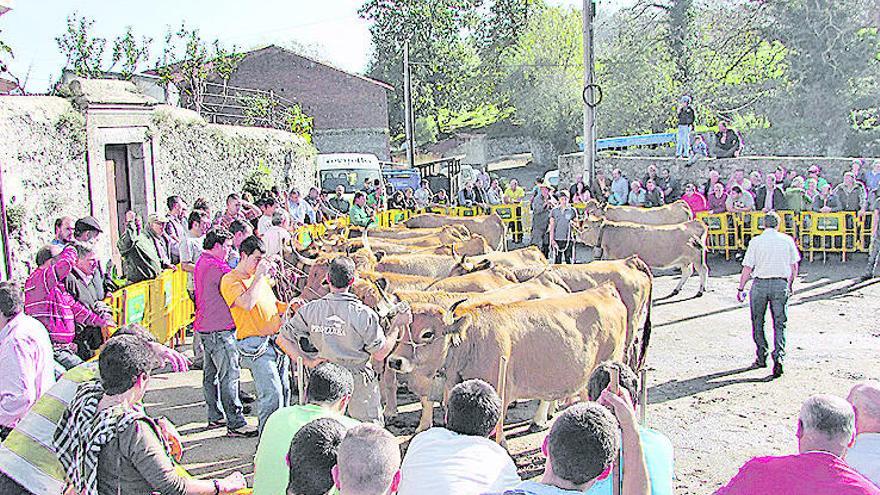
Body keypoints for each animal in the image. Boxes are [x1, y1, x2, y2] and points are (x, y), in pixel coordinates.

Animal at [576, 216, 708, 294]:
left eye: (586, 226)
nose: (577, 236)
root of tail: (692, 223)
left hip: (697, 258)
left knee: (703, 270)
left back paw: (701, 290)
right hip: (685, 260)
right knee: (687, 272)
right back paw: (677, 289)